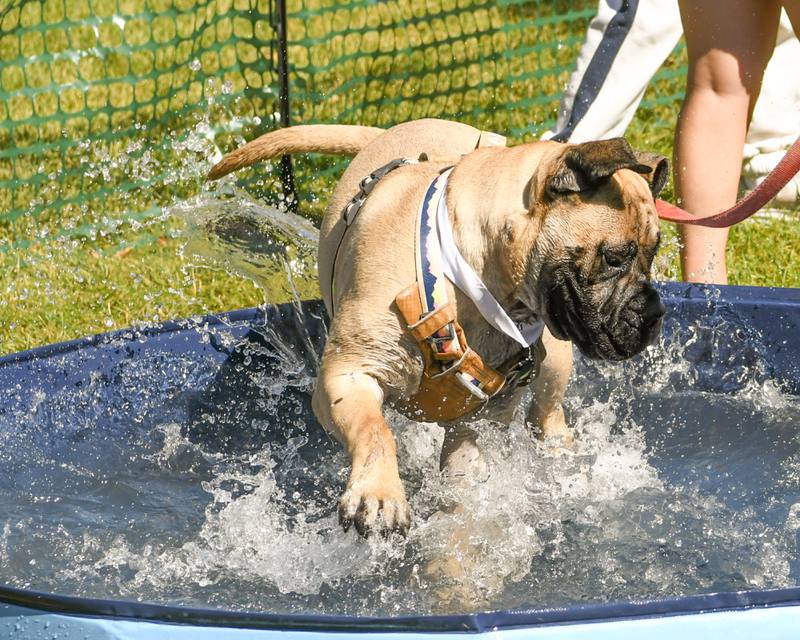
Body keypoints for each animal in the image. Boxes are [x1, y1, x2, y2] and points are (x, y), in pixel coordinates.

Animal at [208, 119, 668, 540]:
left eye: (653, 253)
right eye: (615, 257)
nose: (654, 313)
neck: (464, 277)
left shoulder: (480, 416)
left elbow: (463, 464)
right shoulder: (348, 375)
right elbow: (375, 430)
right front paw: (379, 492)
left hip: (555, 357)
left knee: (548, 410)